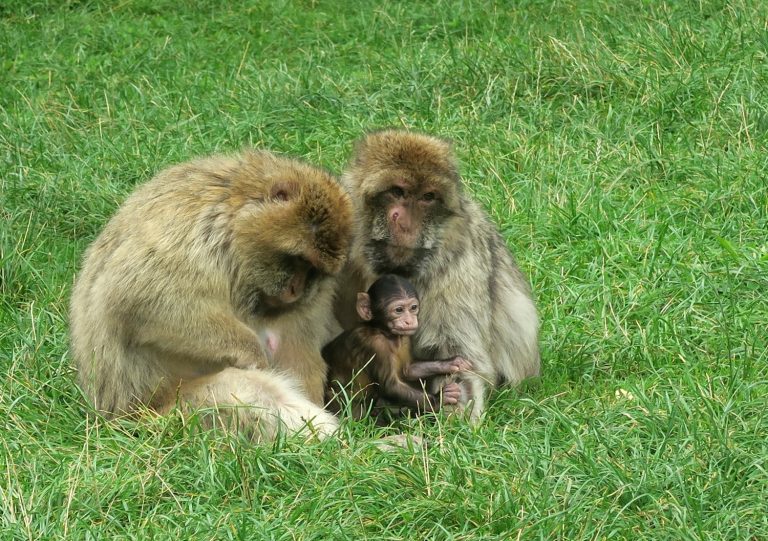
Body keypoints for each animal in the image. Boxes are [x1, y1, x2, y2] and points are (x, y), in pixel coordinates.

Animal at [69, 149, 352, 441]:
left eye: (313, 272)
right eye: (300, 261)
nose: (296, 290)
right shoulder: (192, 232)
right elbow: (136, 299)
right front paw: (251, 351)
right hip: (165, 415)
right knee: (242, 394)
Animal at [322, 274, 471, 419]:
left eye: (413, 308)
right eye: (399, 310)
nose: (409, 320)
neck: (384, 332)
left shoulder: (405, 340)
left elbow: (408, 370)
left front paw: (451, 363)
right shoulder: (376, 345)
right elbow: (391, 387)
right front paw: (441, 398)